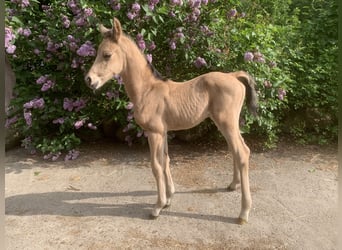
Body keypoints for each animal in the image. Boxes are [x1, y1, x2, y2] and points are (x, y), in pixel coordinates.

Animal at [85, 17, 256, 225]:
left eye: (107, 55)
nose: (89, 80)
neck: (147, 91)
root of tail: (234, 76)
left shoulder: (154, 133)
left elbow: (156, 166)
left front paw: (157, 207)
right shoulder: (164, 132)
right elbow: (166, 160)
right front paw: (169, 198)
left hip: (227, 123)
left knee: (243, 152)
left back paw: (243, 213)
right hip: (226, 124)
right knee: (235, 151)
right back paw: (232, 185)